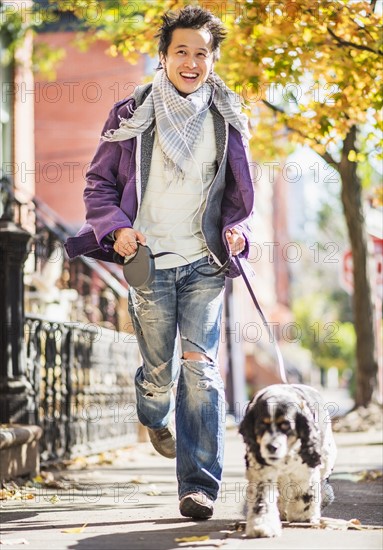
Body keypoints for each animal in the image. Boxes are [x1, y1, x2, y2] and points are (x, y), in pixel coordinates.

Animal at [240, 384, 340, 540]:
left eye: (286, 426)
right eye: (261, 425)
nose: (272, 447)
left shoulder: (304, 470)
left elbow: (304, 494)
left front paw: (301, 516)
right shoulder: (262, 472)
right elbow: (262, 499)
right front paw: (262, 526)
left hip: (326, 456)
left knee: (322, 480)